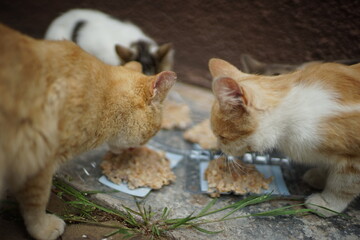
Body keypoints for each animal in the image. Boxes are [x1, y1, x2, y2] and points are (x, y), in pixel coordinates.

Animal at [0, 23, 176, 240]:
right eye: (155, 132)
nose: (135, 151)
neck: (103, 99)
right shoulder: (38, 163)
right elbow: (36, 201)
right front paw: (43, 229)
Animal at [210, 58, 360, 218]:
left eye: (222, 136)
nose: (219, 148)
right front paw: (320, 176)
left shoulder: (354, 162)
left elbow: (343, 186)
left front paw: (327, 204)